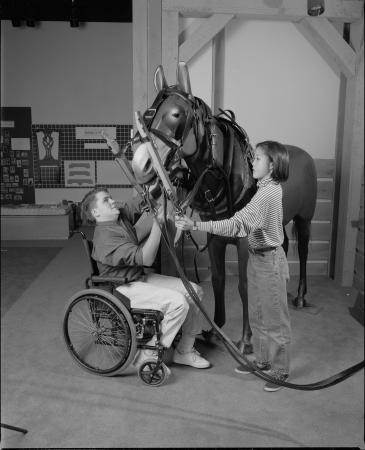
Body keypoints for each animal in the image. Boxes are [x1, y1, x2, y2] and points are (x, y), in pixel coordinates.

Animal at [130, 61, 316, 354]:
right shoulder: (215, 237)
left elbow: (243, 285)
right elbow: (218, 280)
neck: (228, 176)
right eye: (150, 114)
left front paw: (245, 339)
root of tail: (305, 155)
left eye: (176, 114)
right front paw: (214, 330)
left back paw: (299, 296)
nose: (141, 165)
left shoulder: (244, 241)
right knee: (284, 245)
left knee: (305, 251)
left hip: (304, 219)